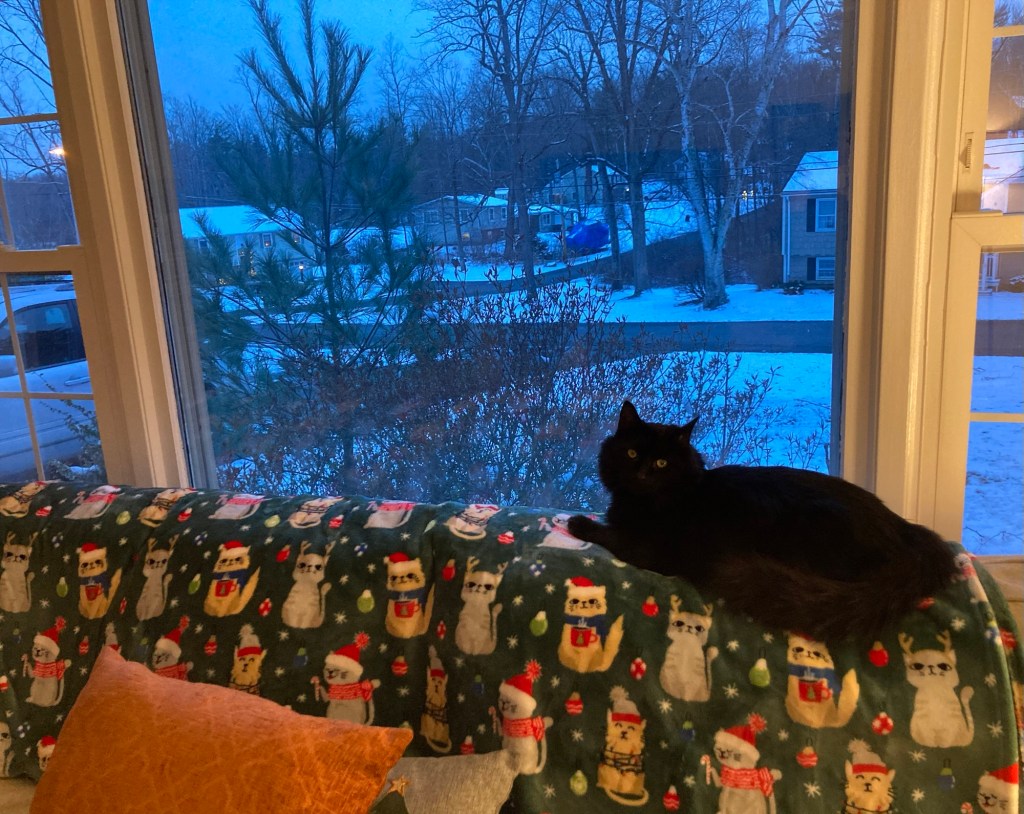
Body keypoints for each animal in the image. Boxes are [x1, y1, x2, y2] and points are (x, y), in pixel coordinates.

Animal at [568, 401, 958, 641]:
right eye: (632, 452)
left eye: (662, 463)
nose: (642, 473)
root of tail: (904, 528)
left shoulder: (653, 549)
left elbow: (614, 535)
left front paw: (578, 524)